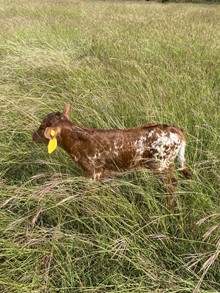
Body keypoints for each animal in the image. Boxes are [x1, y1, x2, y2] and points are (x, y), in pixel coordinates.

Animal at [32, 104, 191, 208]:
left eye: (42, 127)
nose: (33, 136)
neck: (77, 141)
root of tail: (174, 129)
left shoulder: (93, 172)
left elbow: (88, 194)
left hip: (162, 164)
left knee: (172, 185)